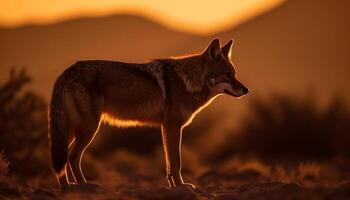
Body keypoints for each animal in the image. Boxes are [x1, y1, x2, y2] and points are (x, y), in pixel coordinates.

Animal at [47, 38, 249, 190]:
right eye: (227, 75)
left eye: (234, 74)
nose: (246, 90)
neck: (188, 81)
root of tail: (65, 73)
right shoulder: (173, 127)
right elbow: (176, 162)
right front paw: (182, 186)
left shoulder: (166, 128)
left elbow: (169, 164)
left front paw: (174, 187)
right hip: (88, 129)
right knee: (72, 158)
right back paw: (82, 187)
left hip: (71, 131)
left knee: (62, 159)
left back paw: (68, 187)